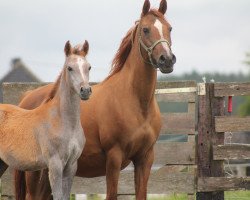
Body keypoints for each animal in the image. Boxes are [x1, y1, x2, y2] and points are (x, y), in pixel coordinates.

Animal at [0, 40, 92, 200]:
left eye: (89, 67)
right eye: (69, 68)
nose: (85, 90)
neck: (62, 121)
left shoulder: (71, 166)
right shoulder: (55, 165)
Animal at [15, 0, 176, 199]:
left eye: (170, 28)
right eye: (146, 29)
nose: (167, 59)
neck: (136, 103)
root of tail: (26, 98)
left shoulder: (145, 158)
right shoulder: (114, 157)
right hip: (35, 174)